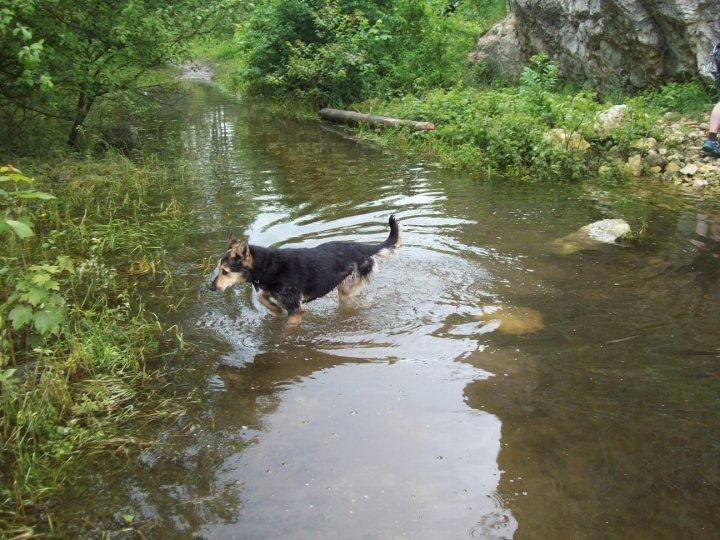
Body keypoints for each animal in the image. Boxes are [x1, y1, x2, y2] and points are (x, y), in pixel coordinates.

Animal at [210, 215, 400, 324]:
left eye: (225, 271)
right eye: (219, 269)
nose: (211, 288)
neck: (267, 265)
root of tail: (362, 247)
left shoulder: (295, 309)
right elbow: (261, 297)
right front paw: (275, 309)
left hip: (347, 289)